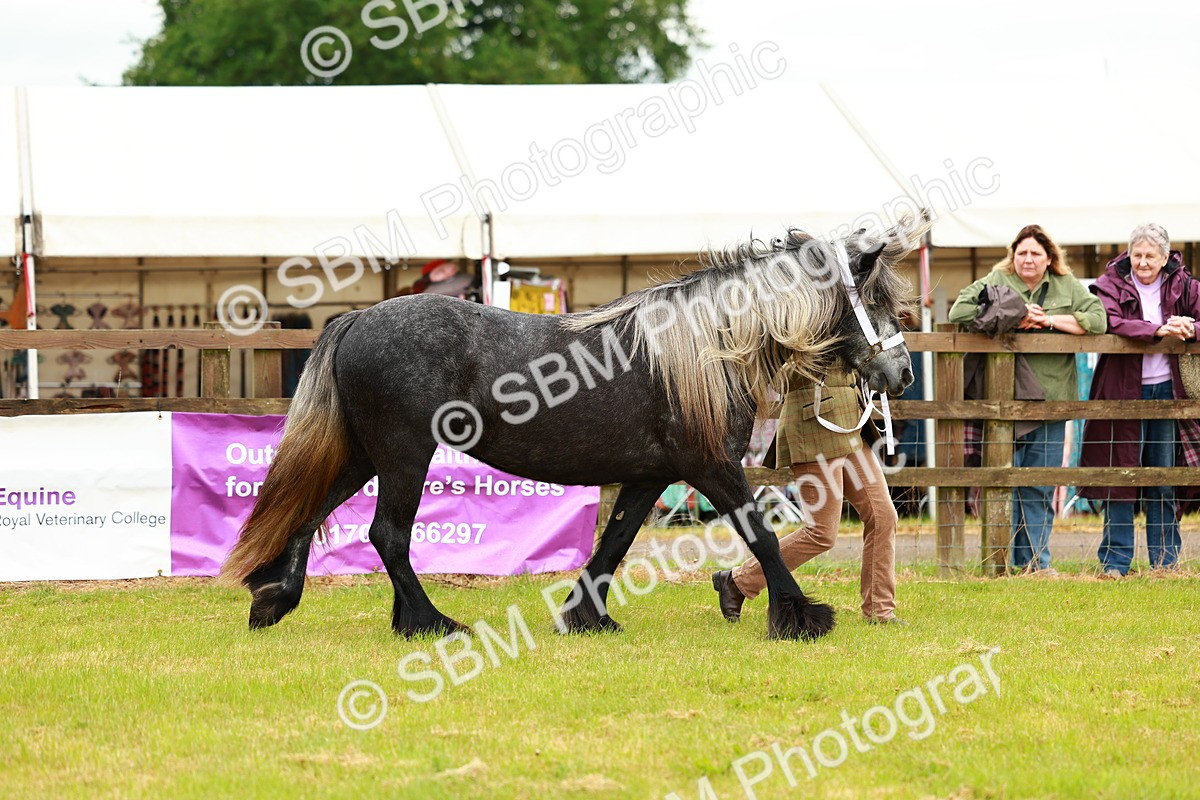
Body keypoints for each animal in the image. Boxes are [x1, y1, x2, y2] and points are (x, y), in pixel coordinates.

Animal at [222, 215, 929, 641]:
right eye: (875, 301)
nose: (900, 375)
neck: (705, 344)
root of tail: (357, 319)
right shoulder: (712, 470)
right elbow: (762, 536)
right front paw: (802, 616)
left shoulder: (651, 477)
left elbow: (612, 545)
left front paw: (585, 617)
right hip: (404, 454)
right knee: (387, 534)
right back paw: (431, 622)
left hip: (368, 454)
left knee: (311, 512)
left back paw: (276, 599)